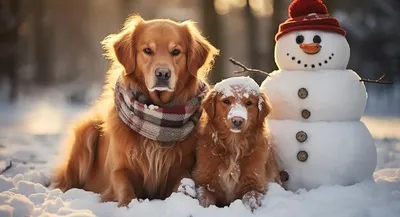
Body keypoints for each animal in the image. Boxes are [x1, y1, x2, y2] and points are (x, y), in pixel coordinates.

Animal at [51, 14, 219, 206]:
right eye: (147, 50)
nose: (163, 74)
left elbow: (181, 186)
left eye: (176, 52)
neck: (157, 112)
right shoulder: (119, 169)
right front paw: (128, 204)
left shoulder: (181, 169)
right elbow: (123, 186)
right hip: (86, 130)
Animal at [193, 77, 278, 211]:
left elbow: (251, 199)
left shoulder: (254, 184)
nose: (237, 120)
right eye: (226, 101)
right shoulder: (204, 182)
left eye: (249, 103)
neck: (234, 146)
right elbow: (204, 200)